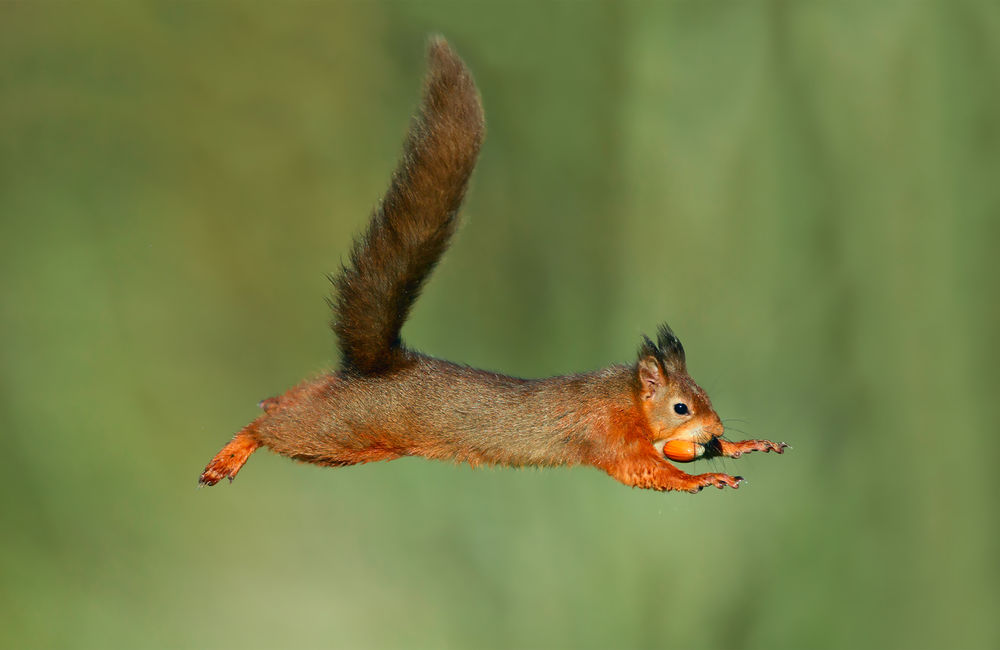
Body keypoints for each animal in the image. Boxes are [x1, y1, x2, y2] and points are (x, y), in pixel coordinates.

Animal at [198, 37, 787, 494]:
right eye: (682, 408)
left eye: (704, 397)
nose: (713, 429)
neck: (622, 398)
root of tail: (379, 366)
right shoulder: (607, 438)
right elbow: (647, 472)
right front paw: (706, 475)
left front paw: (740, 445)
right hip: (346, 431)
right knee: (275, 430)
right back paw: (234, 450)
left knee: (304, 394)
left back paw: (276, 399)